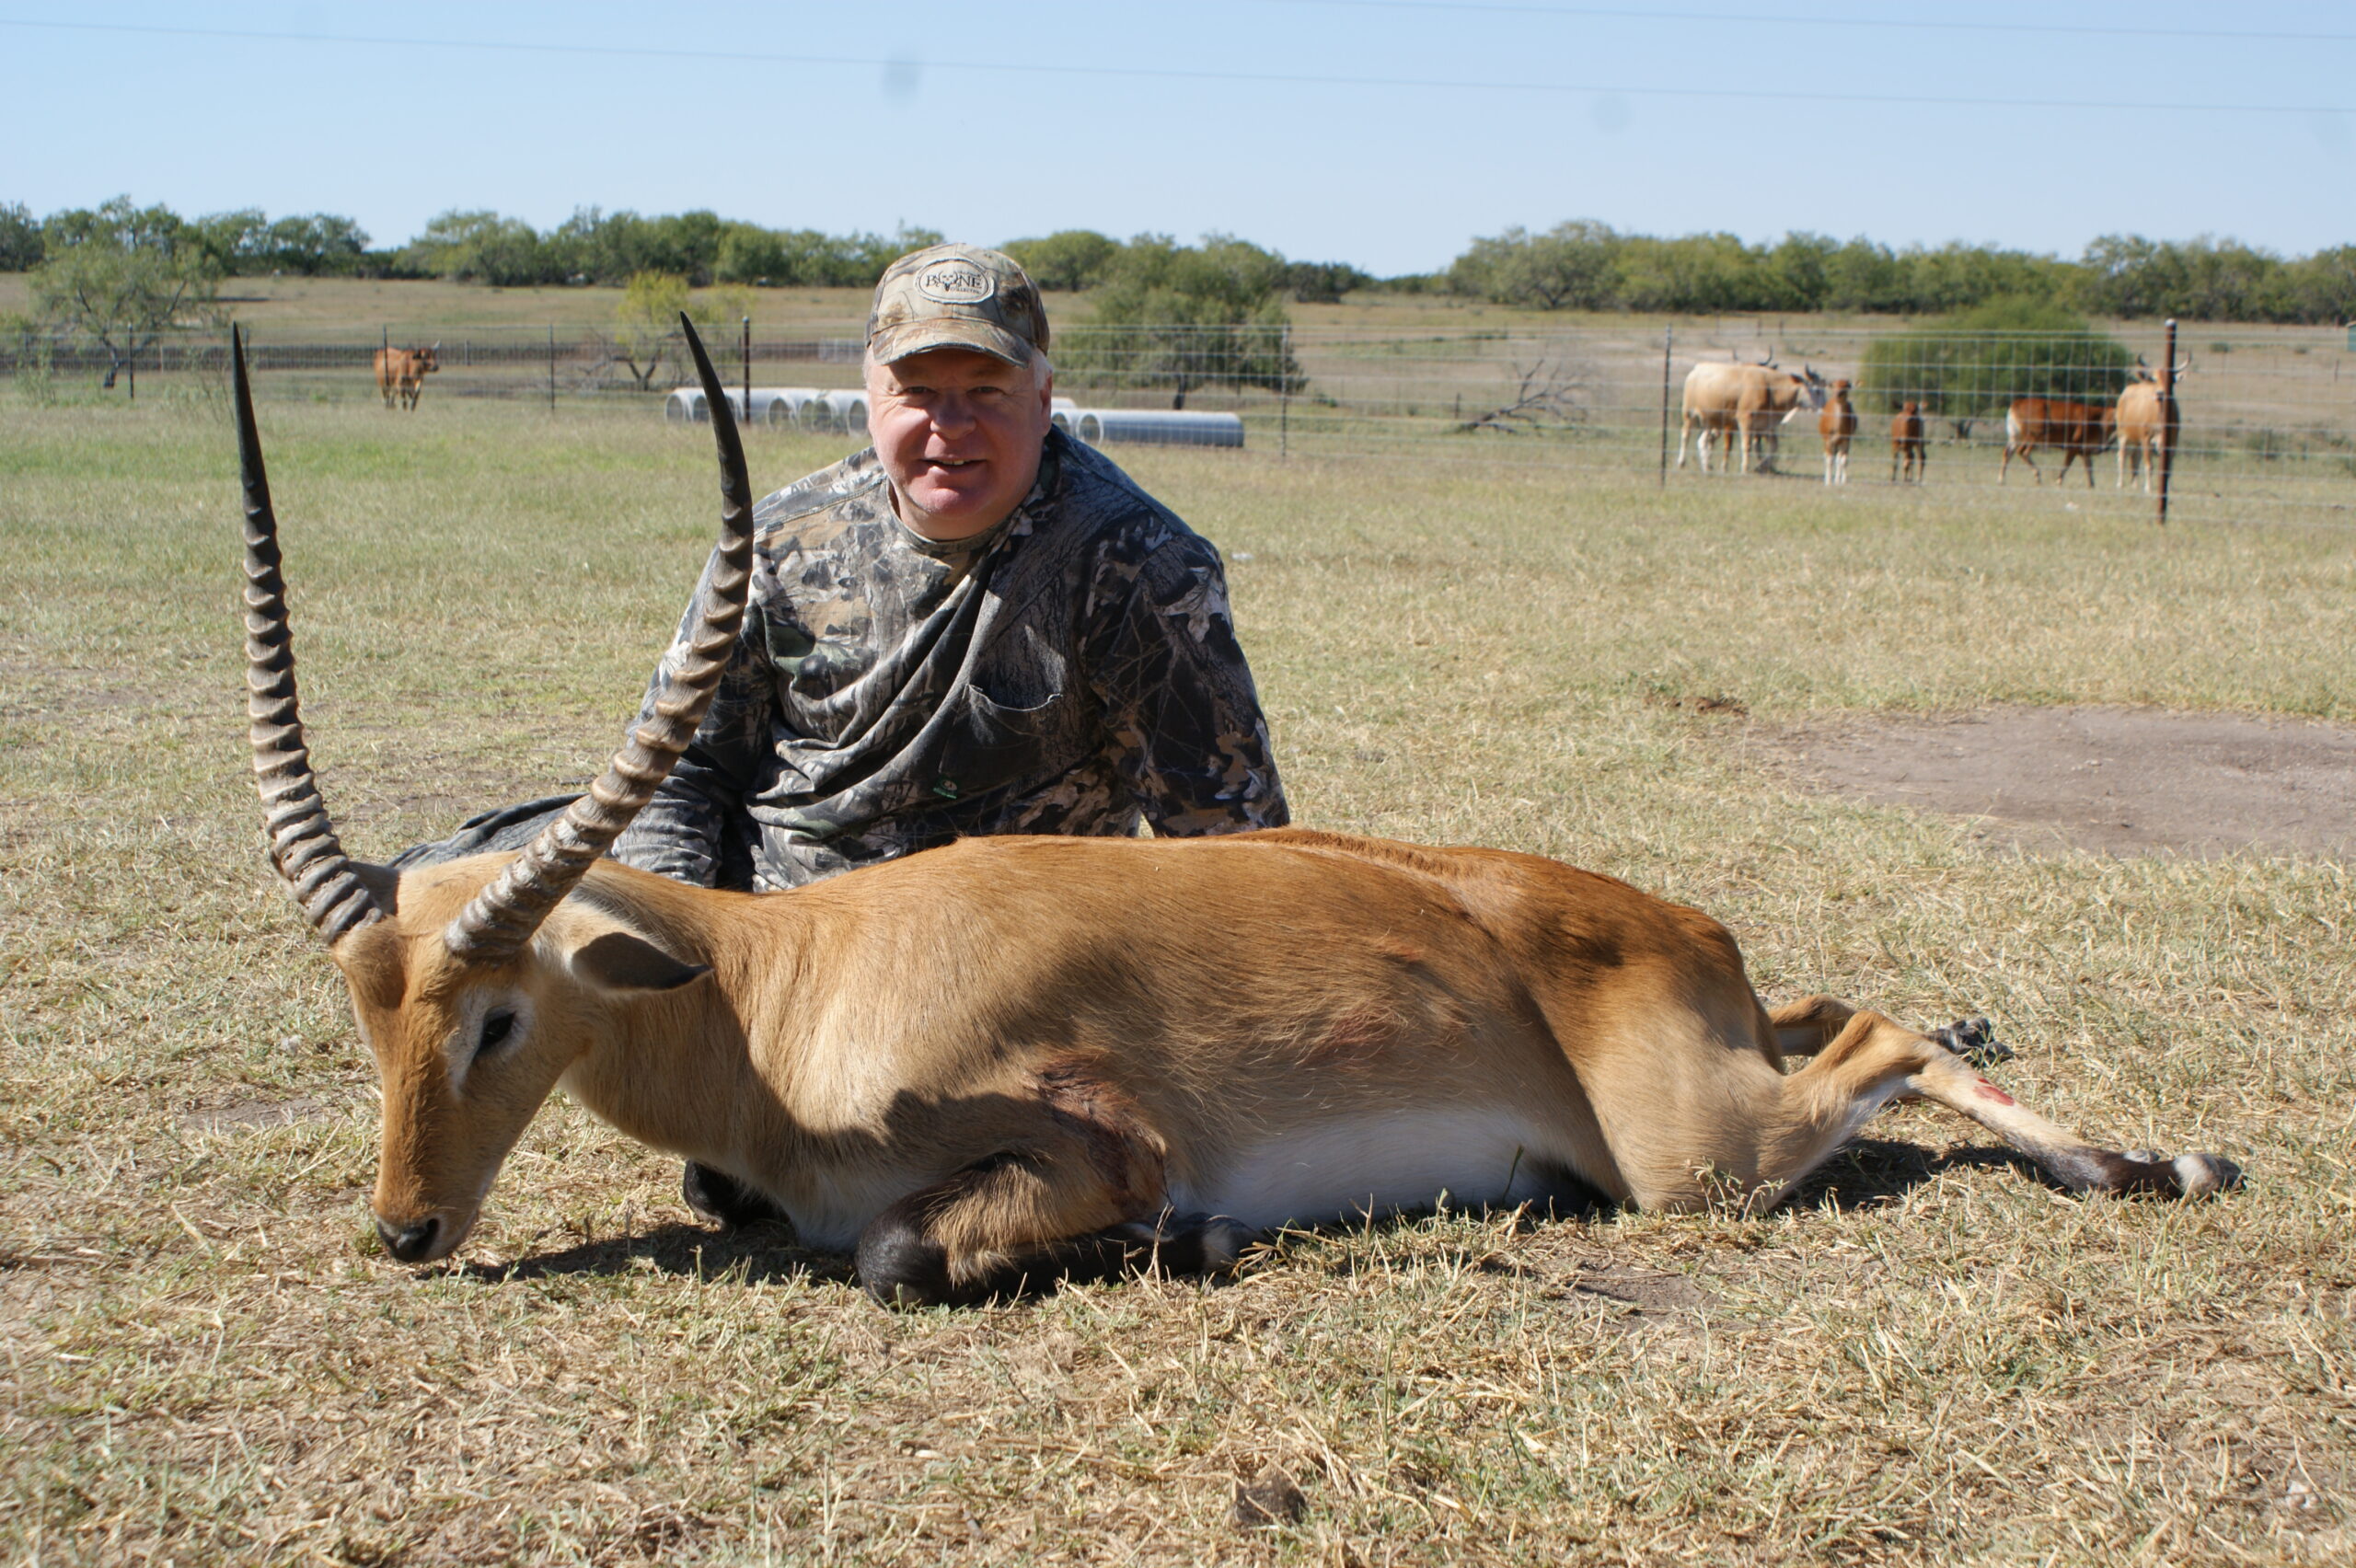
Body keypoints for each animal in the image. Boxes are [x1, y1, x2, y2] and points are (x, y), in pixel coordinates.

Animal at [229, 319, 2233, 1309]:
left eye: (497, 1014)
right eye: (364, 1016)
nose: (403, 1229)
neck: (785, 989)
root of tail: (1680, 930)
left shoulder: (1088, 1130)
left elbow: (891, 1253)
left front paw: (1178, 1239)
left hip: (1694, 1159)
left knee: (1887, 1030)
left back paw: (2159, 1164)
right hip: (1738, 1066)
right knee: (1864, 1018)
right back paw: (2136, 1158)